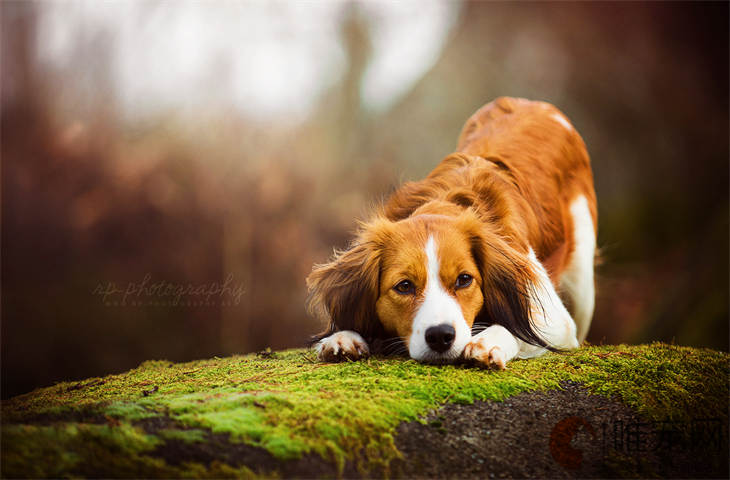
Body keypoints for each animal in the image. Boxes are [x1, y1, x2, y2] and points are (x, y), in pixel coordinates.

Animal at [304, 96, 596, 368]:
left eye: (464, 280)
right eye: (404, 286)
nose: (440, 336)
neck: (444, 203)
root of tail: (531, 102)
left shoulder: (555, 317)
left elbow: (519, 327)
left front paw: (487, 341)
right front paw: (342, 337)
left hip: (583, 285)